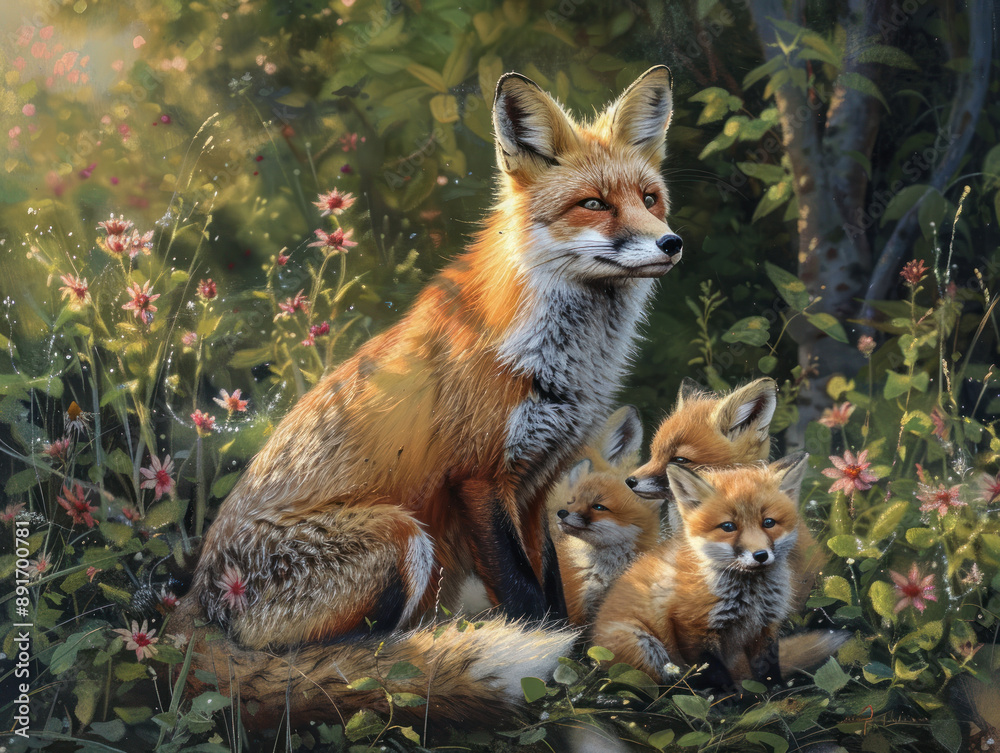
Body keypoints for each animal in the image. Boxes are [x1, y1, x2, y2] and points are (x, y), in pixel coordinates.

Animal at [175, 66, 683, 728]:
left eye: (649, 199)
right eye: (593, 203)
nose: (671, 243)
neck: (557, 361)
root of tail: (192, 607)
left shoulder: (538, 484)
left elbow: (549, 586)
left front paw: (575, 668)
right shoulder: (476, 477)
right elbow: (524, 597)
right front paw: (552, 683)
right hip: (401, 537)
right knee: (333, 668)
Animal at [592, 454, 849, 688]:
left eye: (768, 523)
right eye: (728, 527)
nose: (761, 555)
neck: (751, 596)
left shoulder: (765, 627)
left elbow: (767, 671)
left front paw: (775, 696)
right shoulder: (691, 628)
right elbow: (715, 676)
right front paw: (726, 703)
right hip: (641, 646)